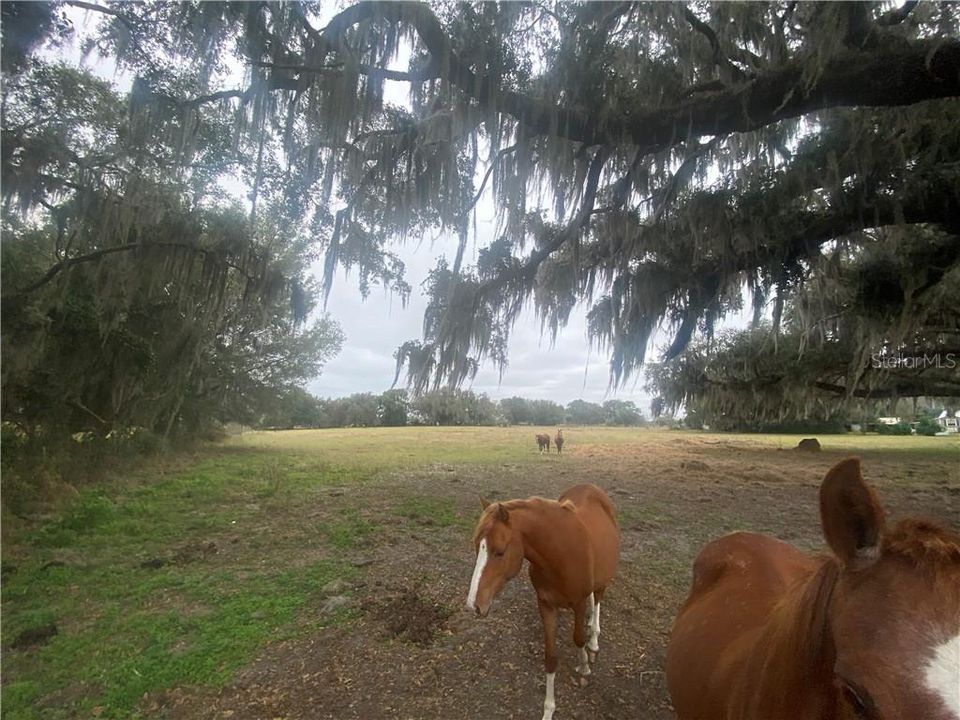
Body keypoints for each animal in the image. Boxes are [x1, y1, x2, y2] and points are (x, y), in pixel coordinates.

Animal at [466, 484, 620, 720]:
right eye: (476, 546)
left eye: (499, 552)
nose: (473, 604)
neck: (560, 555)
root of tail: (592, 488)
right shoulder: (546, 605)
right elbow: (550, 657)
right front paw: (548, 709)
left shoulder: (579, 602)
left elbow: (578, 639)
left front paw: (584, 666)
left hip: (603, 579)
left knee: (597, 601)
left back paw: (594, 639)